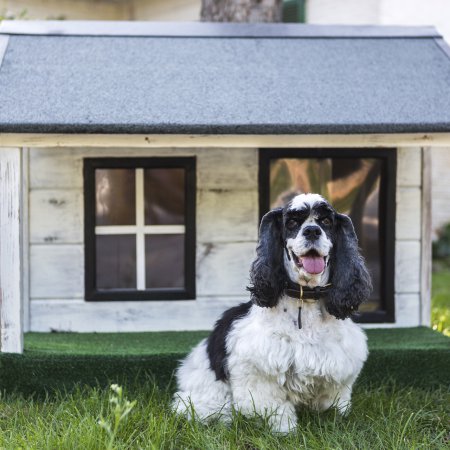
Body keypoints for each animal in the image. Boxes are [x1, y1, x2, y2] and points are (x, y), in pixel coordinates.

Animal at [174, 192, 370, 432]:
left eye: (326, 221)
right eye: (292, 223)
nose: (312, 231)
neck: (304, 298)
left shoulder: (338, 368)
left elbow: (332, 402)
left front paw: (333, 421)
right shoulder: (258, 371)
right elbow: (275, 408)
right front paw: (285, 430)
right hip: (205, 394)